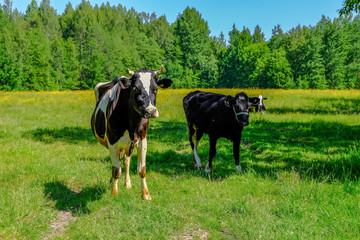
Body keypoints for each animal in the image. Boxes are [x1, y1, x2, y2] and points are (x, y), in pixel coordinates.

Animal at [91, 65, 173, 201]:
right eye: (135, 88)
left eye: (155, 89)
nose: (150, 111)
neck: (131, 124)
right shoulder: (112, 141)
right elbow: (116, 169)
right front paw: (114, 192)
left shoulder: (142, 139)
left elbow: (142, 169)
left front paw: (145, 194)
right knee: (117, 164)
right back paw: (112, 183)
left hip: (129, 145)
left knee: (126, 161)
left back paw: (127, 183)